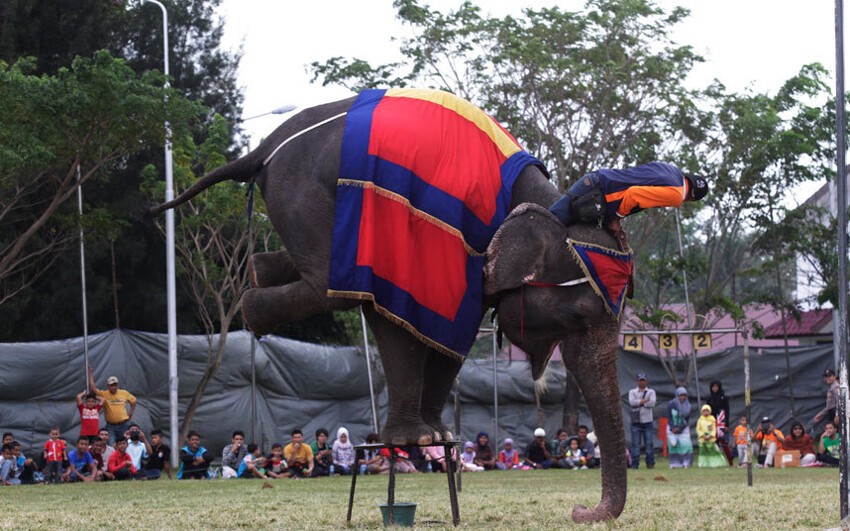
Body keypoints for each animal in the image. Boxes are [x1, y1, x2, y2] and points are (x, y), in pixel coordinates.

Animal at [152, 91, 628, 524]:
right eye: (582, 316)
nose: (579, 511)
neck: (536, 198)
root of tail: (265, 147)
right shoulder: (426, 228)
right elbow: (395, 314)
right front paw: (414, 438)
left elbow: (454, 332)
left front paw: (438, 434)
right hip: (303, 192)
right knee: (330, 284)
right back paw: (252, 306)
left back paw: (255, 272)